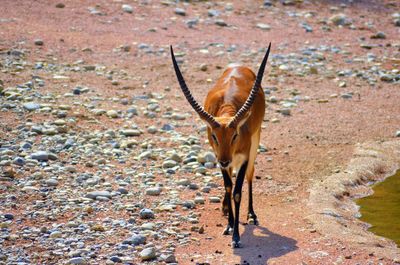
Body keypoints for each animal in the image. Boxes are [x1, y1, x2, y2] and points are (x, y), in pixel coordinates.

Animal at [170, 43, 270, 248]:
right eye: (214, 136)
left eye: (235, 135)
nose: (224, 161)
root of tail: (239, 66)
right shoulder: (220, 157)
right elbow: (228, 187)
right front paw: (229, 226)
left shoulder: (243, 157)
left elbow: (237, 192)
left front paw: (236, 238)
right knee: (230, 180)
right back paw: (225, 208)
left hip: (255, 141)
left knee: (250, 173)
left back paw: (251, 215)